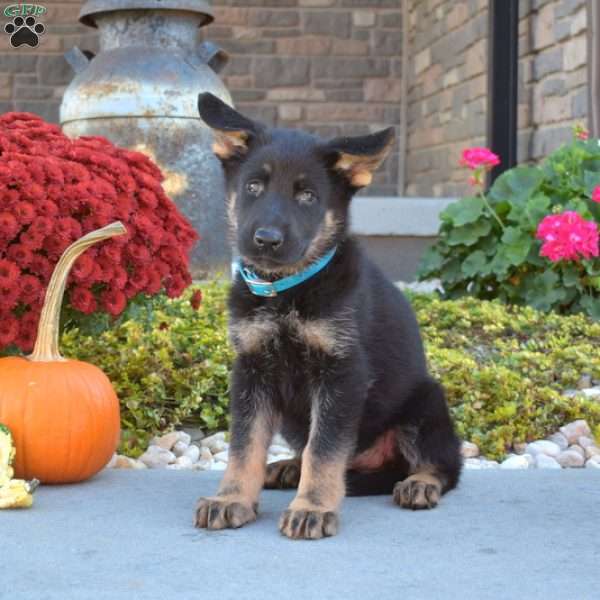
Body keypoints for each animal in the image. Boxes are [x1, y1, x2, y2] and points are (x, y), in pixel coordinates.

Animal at [195, 92, 462, 540]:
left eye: (307, 196)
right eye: (253, 187)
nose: (266, 239)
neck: (286, 291)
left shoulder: (342, 373)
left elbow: (324, 450)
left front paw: (313, 507)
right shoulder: (252, 370)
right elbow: (244, 445)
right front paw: (231, 499)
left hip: (426, 401)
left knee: (445, 464)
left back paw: (420, 483)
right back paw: (288, 467)